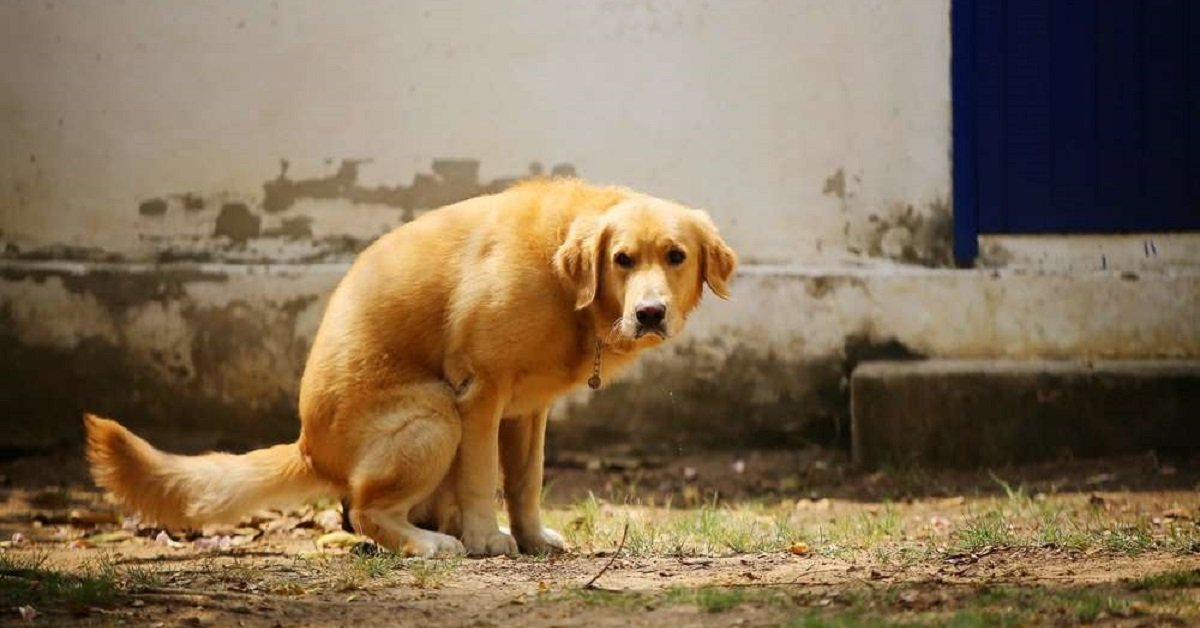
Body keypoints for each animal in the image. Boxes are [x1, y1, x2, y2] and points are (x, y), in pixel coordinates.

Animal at [84, 178, 734, 557]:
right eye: (622, 259)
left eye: (675, 256)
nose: (650, 313)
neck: (564, 282)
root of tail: (307, 446)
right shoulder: (479, 395)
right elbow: (482, 480)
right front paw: (487, 540)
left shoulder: (528, 412)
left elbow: (525, 484)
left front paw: (530, 538)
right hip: (433, 415)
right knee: (367, 513)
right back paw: (432, 543)